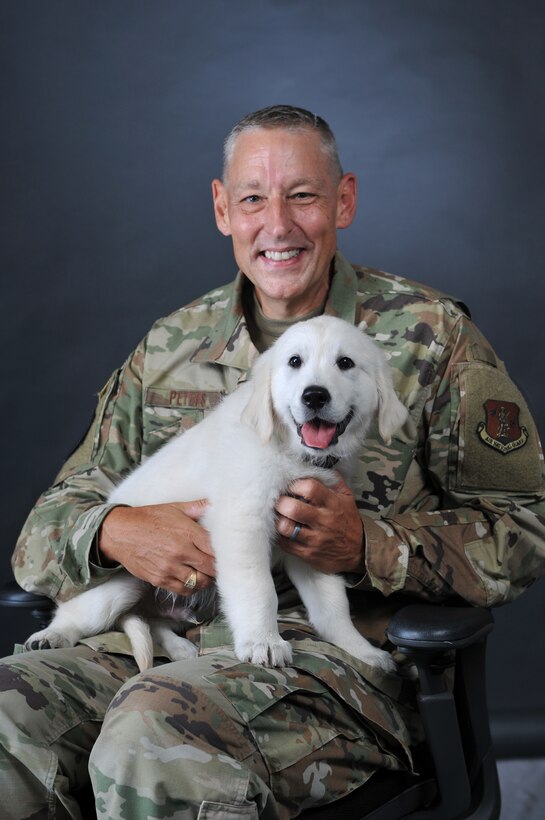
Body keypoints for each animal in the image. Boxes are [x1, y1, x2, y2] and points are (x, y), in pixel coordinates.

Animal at [26, 316, 408, 672]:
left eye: (345, 363)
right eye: (295, 362)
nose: (314, 396)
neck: (290, 451)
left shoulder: (313, 534)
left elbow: (332, 605)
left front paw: (360, 651)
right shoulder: (242, 523)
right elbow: (259, 589)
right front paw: (264, 641)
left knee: (153, 622)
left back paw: (179, 648)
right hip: (122, 580)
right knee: (80, 615)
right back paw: (51, 635)